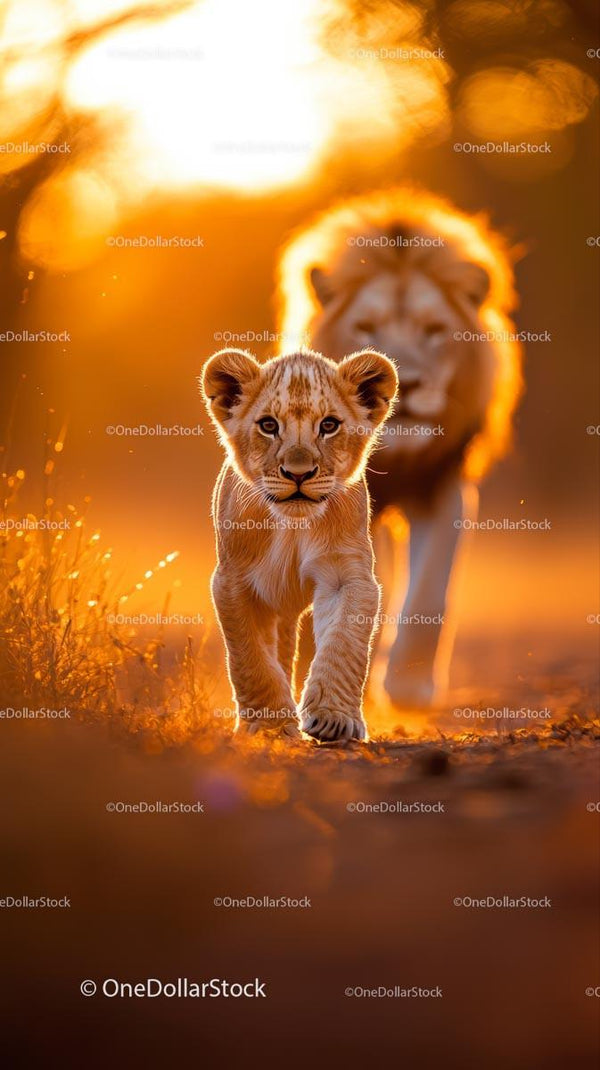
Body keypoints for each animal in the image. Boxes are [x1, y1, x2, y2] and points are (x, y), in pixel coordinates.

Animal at [201, 346, 398, 741]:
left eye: (329, 425)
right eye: (268, 425)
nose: (298, 474)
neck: (293, 526)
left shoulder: (346, 575)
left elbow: (344, 644)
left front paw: (333, 718)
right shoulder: (233, 582)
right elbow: (250, 657)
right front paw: (268, 724)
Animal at [276, 187, 523, 708]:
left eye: (435, 330)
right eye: (365, 327)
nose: (404, 384)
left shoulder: (445, 489)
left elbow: (430, 589)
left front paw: (410, 685)